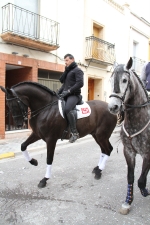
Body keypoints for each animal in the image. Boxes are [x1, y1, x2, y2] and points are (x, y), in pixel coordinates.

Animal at [108, 57, 150, 214]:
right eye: (111, 79)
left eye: (125, 80)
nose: (113, 107)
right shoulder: (129, 152)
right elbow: (131, 177)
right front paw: (127, 202)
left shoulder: (147, 153)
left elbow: (141, 180)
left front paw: (145, 190)